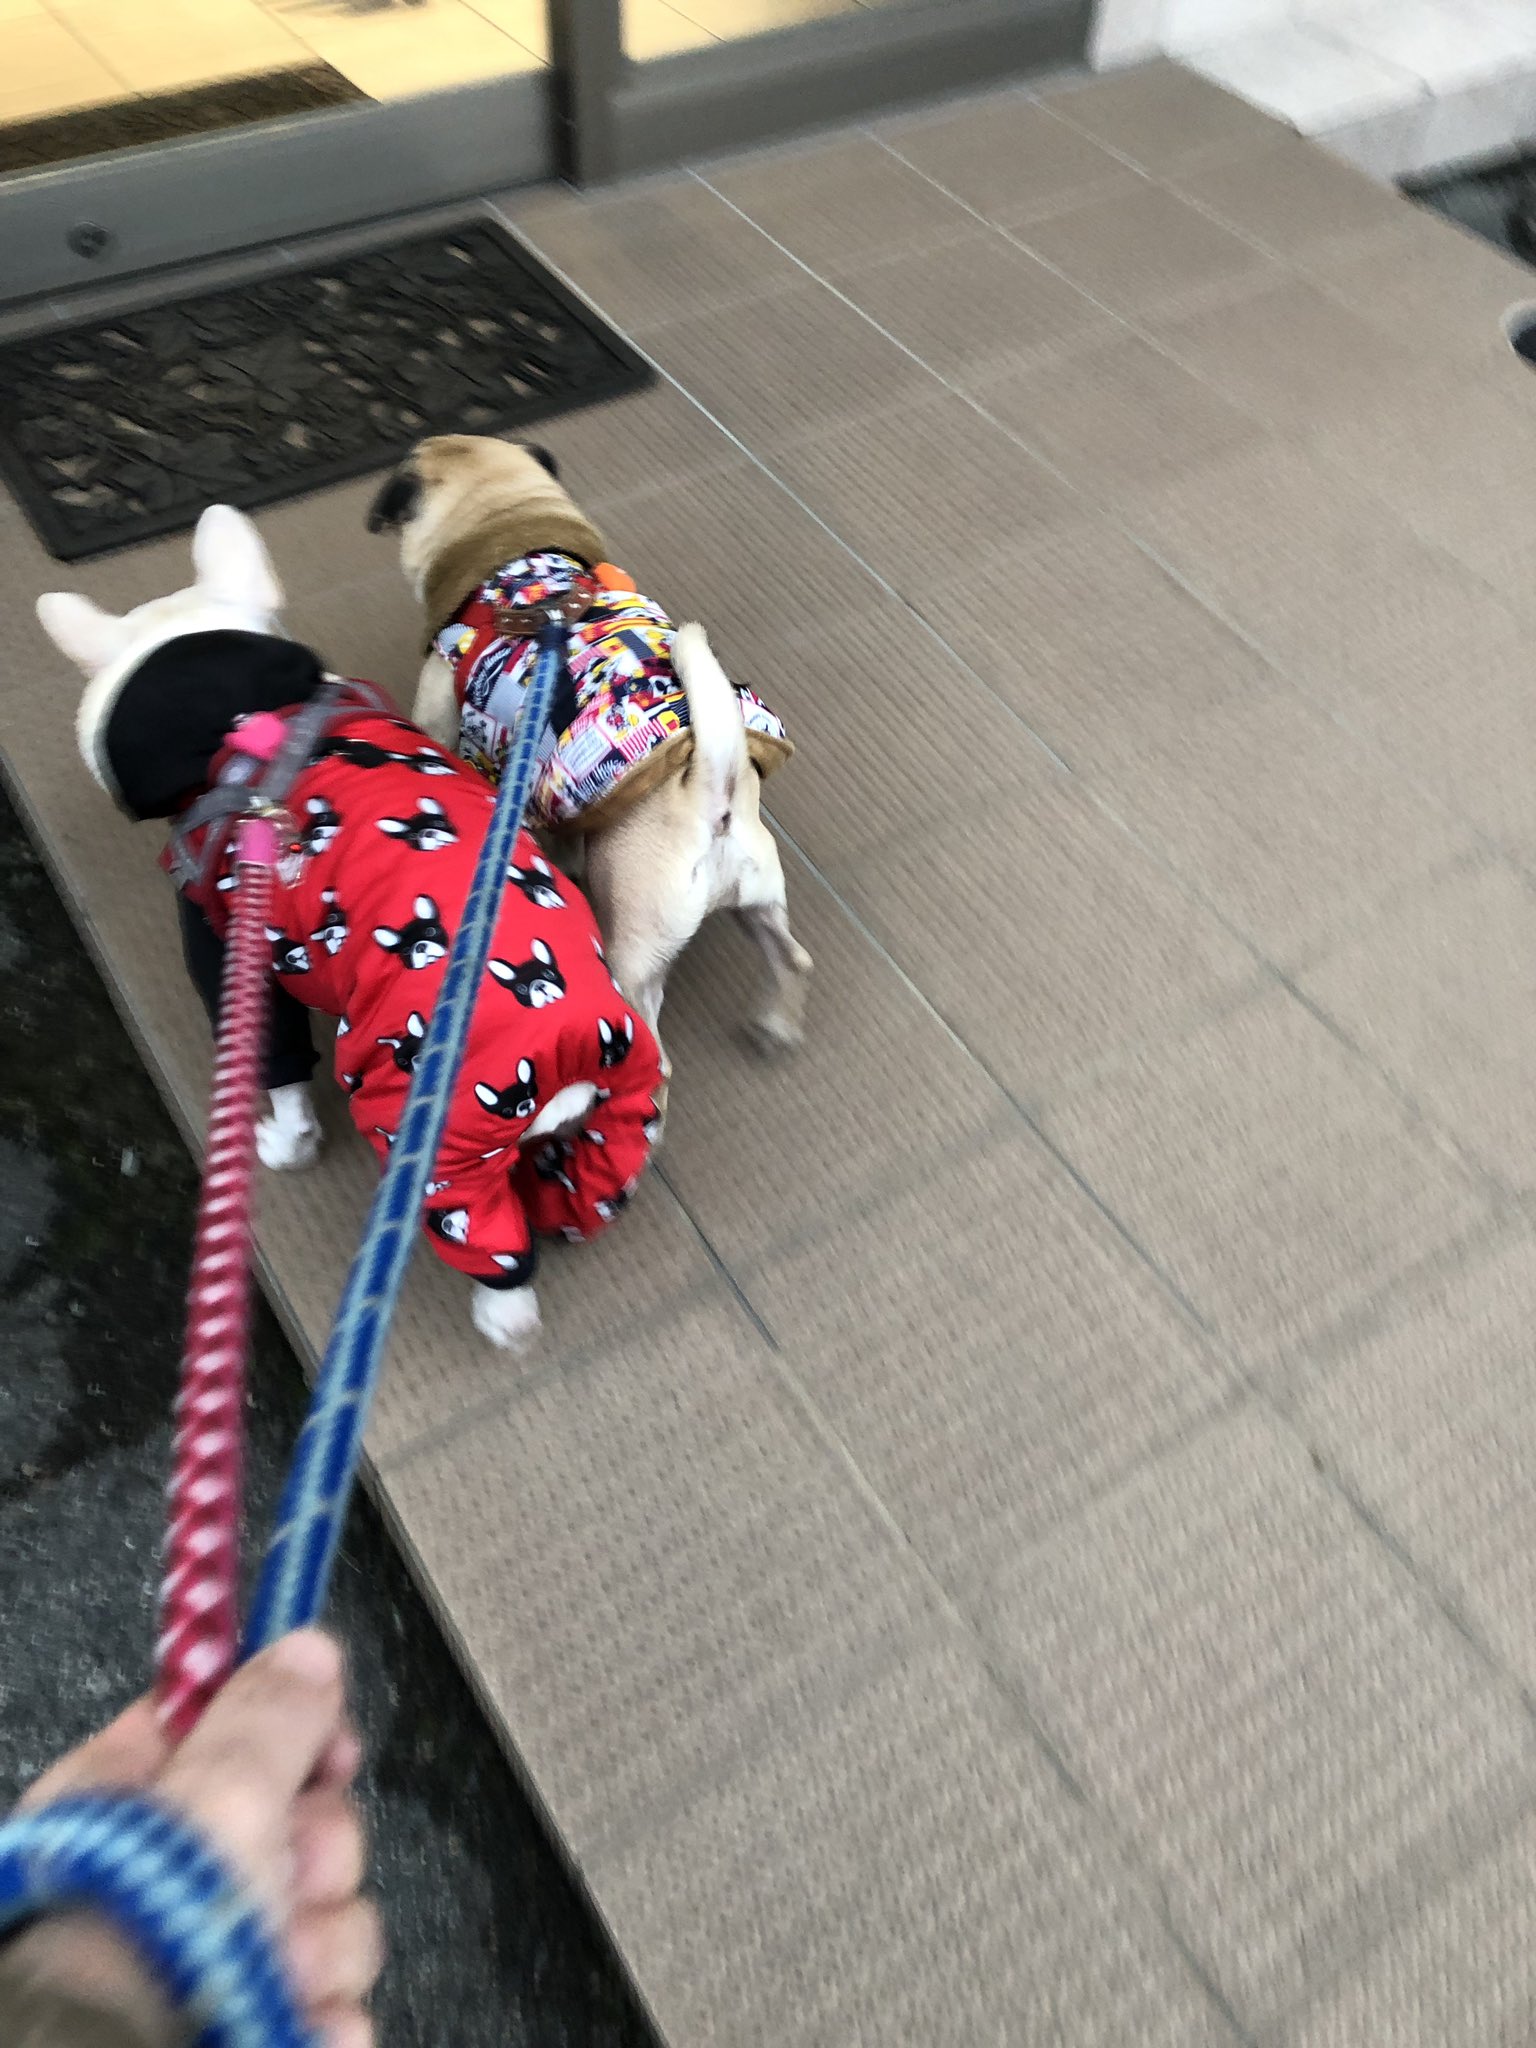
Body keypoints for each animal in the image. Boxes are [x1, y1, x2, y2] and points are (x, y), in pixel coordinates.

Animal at [37, 504, 664, 1352]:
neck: (242, 721)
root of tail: (566, 1045)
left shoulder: (227, 944)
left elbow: (276, 1069)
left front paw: (283, 1144)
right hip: (624, 1114)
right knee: (582, 1190)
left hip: (433, 1148)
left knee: (494, 1258)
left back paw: (499, 1315)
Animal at [365, 434, 813, 1077]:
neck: (509, 543)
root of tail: (710, 792)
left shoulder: (442, 716)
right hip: (757, 903)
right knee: (791, 958)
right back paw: (776, 1026)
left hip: (636, 955)